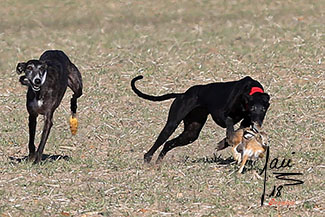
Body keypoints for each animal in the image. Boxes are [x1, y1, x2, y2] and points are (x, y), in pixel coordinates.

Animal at [130, 74, 270, 163]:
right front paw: (227, 140)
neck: (250, 91)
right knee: (159, 142)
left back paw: (159, 163)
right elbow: (230, 126)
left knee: (168, 143)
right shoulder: (220, 115)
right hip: (172, 124)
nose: (257, 123)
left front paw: (224, 143)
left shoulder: (245, 122)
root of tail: (182, 94)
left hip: (191, 133)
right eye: (253, 108)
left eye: (263, 109)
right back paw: (147, 160)